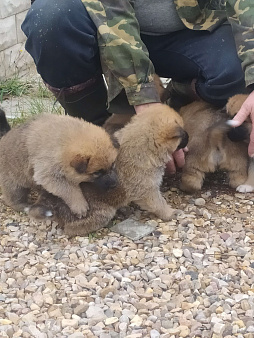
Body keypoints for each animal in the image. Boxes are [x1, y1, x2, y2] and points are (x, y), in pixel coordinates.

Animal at [28, 104, 189, 236]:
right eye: (183, 133)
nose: (189, 136)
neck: (144, 145)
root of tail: (48, 201)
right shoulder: (148, 192)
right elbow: (159, 204)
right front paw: (170, 213)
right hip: (102, 212)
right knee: (71, 228)